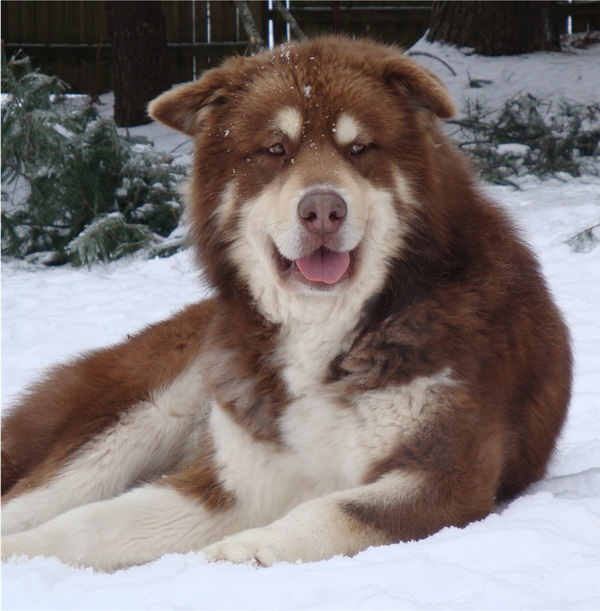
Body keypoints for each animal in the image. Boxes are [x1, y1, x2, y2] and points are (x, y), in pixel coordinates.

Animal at [0, 39, 572, 572]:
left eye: (359, 148)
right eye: (276, 149)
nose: (322, 210)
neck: (322, 330)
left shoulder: (446, 473)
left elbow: (332, 509)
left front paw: (246, 549)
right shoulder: (234, 479)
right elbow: (89, 523)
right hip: (145, 411)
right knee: (40, 494)